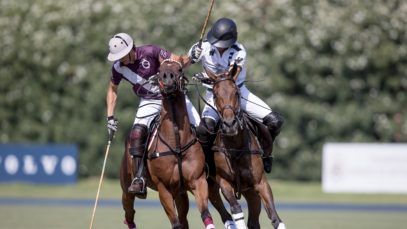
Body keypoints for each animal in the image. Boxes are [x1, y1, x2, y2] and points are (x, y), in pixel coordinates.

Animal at [120, 59, 217, 229]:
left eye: (180, 69)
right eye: (159, 70)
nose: (168, 79)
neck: (176, 142)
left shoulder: (197, 181)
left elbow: (205, 214)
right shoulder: (163, 188)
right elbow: (176, 223)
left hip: (180, 193)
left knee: (184, 218)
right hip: (127, 188)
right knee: (129, 213)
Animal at [204, 70, 286, 229]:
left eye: (236, 92)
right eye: (215, 95)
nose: (230, 124)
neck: (236, 147)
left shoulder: (260, 183)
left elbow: (275, 217)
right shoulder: (224, 182)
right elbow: (236, 209)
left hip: (251, 193)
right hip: (210, 187)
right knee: (225, 214)